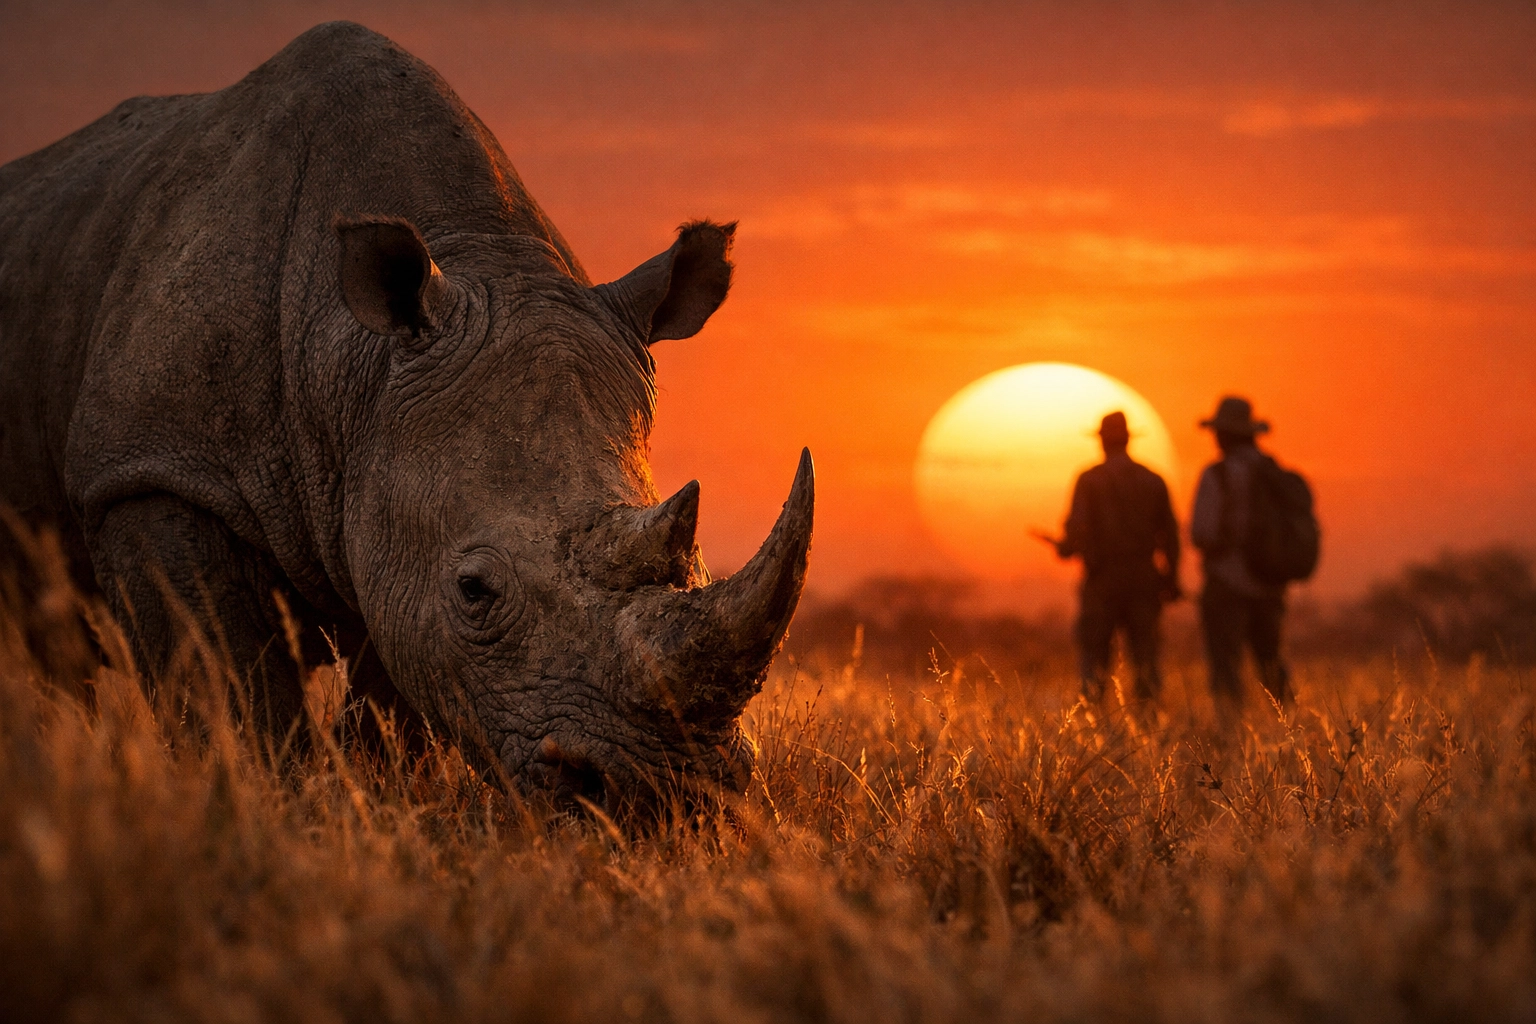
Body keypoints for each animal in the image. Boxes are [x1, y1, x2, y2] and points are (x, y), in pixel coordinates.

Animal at [0, 21, 812, 807]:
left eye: (696, 568)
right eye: (475, 590)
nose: (664, 793)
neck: (348, 366)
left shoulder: (390, 510)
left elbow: (395, 707)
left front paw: (381, 805)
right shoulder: (151, 469)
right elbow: (231, 692)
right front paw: (264, 807)